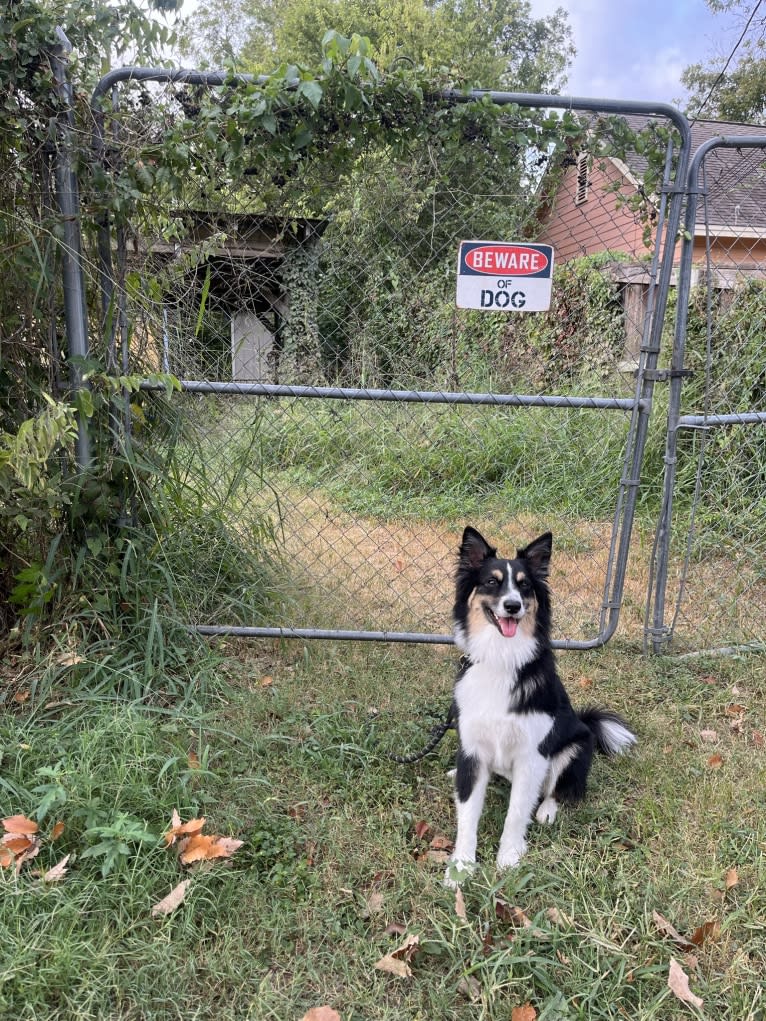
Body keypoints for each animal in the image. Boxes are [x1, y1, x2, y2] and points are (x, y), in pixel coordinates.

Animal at [443, 526, 637, 886]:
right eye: (491, 582)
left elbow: (517, 812)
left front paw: (508, 857)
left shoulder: (531, 755)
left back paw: (547, 810)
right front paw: (461, 867)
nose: (512, 606)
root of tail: (586, 722)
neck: (502, 659)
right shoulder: (473, 749)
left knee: (559, 789)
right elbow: (467, 816)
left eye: (524, 585)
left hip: (574, 745)